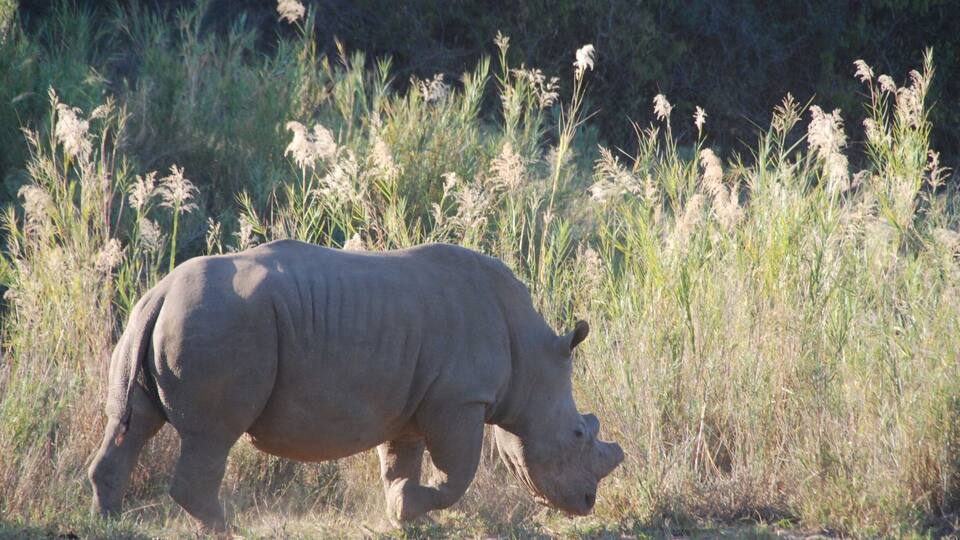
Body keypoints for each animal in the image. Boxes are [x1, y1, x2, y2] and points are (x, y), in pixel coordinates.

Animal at [88, 240, 624, 531]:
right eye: (579, 434)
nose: (586, 505)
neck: (529, 360)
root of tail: (160, 292)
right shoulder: (459, 399)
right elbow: (458, 473)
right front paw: (413, 508)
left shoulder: (413, 402)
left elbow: (399, 463)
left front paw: (404, 512)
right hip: (218, 323)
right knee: (212, 435)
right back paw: (227, 529)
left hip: (159, 319)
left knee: (131, 424)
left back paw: (110, 521)